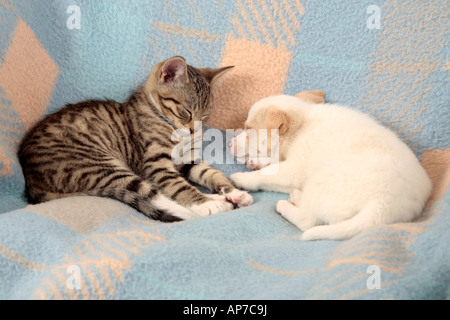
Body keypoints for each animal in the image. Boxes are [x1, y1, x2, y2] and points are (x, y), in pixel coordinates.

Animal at [18, 56, 253, 221]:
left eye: (205, 116)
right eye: (186, 112)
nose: (195, 130)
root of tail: (30, 181)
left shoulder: (188, 160)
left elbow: (210, 173)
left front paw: (232, 191)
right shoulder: (155, 164)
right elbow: (179, 186)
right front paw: (205, 203)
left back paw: (224, 198)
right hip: (99, 167)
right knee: (152, 196)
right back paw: (209, 205)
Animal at [229, 92, 432, 240]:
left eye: (248, 129)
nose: (230, 143)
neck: (302, 124)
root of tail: (385, 206)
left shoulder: (295, 169)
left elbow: (268, 174)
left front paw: (243, 178)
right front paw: (258, 162)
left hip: (321, 179)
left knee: (308, 220)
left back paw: (286, 204)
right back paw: (297, 196)